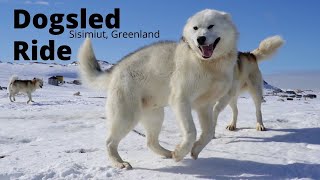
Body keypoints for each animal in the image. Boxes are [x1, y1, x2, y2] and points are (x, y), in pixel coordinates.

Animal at [79, 8, 280, 169]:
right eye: (195, 28)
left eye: (211, 26)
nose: (200, 39)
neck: (207, 65)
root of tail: (116, 69)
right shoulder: (181, 101)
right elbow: (191, 132)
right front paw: (182, 151)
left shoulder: (205, 106)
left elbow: (208, 132)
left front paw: (195, 150)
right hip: (126, 116)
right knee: (109, 142)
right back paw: (119, 162)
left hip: (156, 116)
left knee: (150, 142)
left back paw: (168, 153)